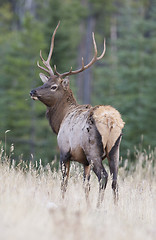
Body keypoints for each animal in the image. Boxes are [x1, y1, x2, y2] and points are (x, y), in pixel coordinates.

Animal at [30, 22, 124, 206]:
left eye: (54, 86)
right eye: (45, 81)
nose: (33, 91)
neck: (59, 121)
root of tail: (110, 120)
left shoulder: (64, 151)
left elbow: (64, 183)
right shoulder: (84, 162)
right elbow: (85, 185)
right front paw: (86, 205)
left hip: (93, 149)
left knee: (103, 177)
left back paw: (99, 206)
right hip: (114, 149)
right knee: (116, 180)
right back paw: (116, 208)